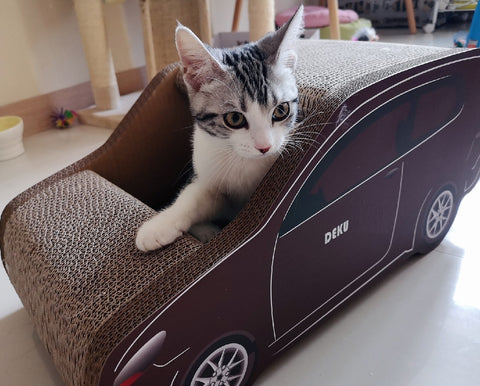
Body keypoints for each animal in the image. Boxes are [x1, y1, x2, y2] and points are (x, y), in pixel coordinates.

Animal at [134, 7, 304, 253]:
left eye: (281, 110)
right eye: (234, 118)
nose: (264, 147)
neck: (245, 162)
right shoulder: (206, 171)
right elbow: (194, 196)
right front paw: (160, 225)